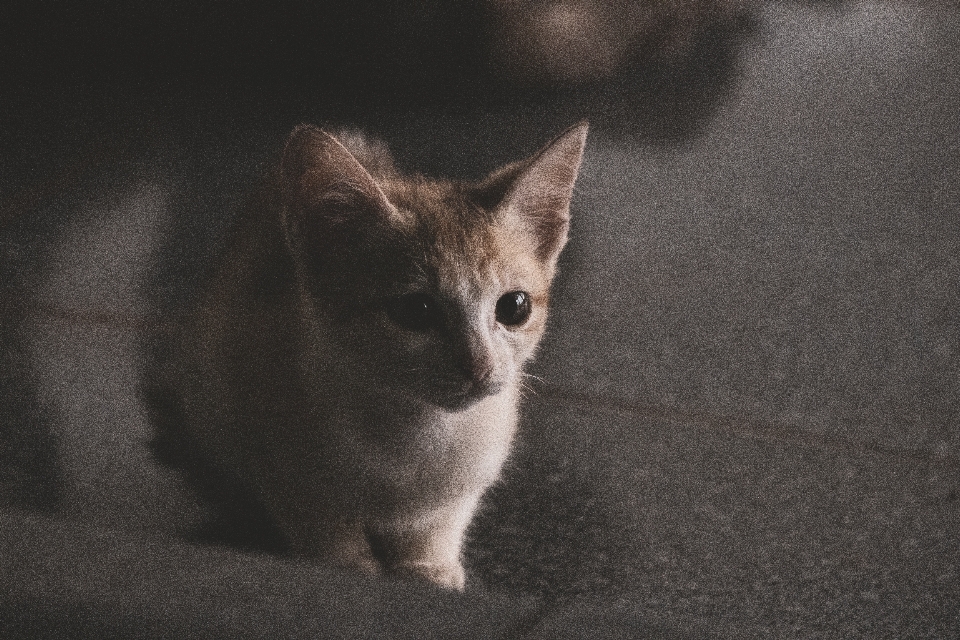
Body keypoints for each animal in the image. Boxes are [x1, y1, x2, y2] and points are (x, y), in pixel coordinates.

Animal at [149, 121, 584, 592]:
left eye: (514, 307)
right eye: (416, 310)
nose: (479, 367)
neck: (417, 431)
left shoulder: (471, 473)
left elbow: (440, 521)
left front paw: (429, 567)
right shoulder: (272, 445)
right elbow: (321, 522)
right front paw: (348, 567)